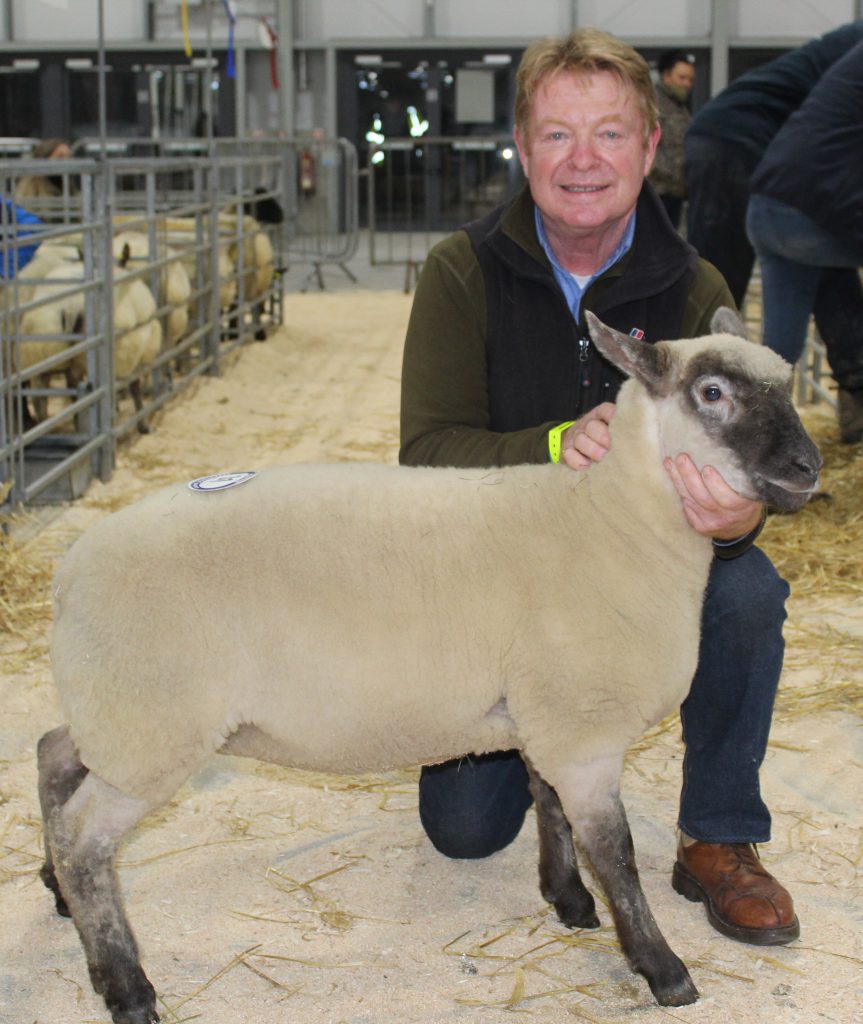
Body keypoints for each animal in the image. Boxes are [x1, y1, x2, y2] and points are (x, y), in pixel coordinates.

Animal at [37, 308, 821, 1023]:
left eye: (785, 382)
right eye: (712, 392)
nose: (807, 468)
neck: (612, 523)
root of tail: (69, 571)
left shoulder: (546, 716)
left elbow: (549, 807)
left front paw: (565, 897)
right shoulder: (583, 728)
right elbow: (615, 853)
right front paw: (661, 967)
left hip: (116, 706)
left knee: (53, 755)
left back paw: (56, 889)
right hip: (152, 720)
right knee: (86, 838)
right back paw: (125, 984)